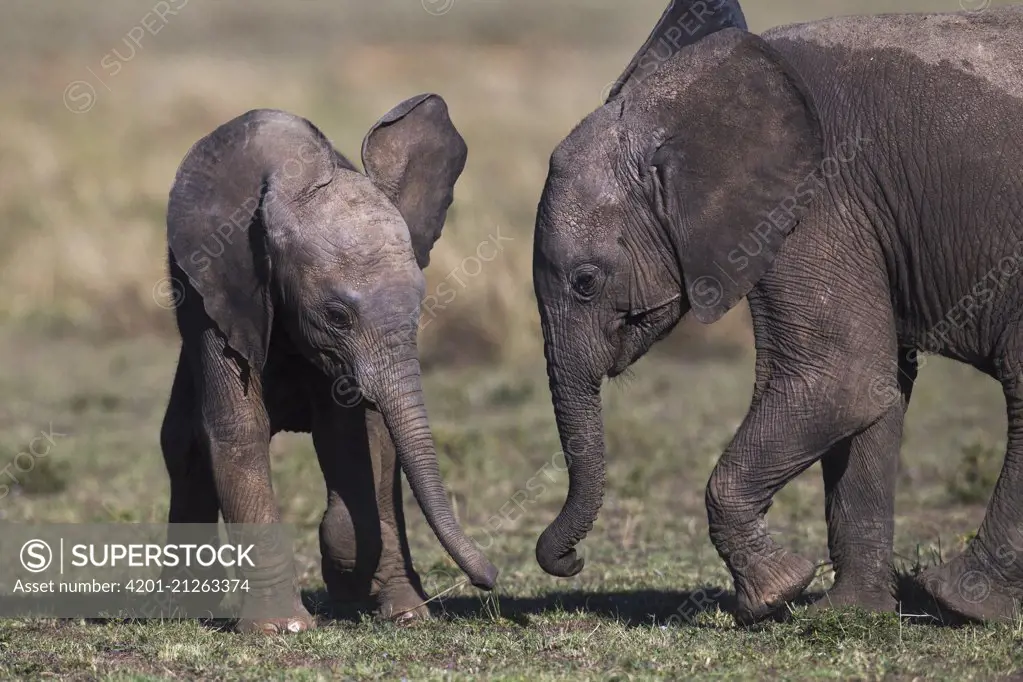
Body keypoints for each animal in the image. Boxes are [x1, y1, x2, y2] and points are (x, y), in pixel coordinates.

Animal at [157, 93, 497, 633]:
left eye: (421, 302)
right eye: (337, 316)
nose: (489, 580)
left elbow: (352, 433)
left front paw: (353, 582)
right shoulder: (218, 292)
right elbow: (238, 427)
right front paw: (281, 628)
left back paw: (403, 612)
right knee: (184, 440)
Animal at [531, 0, 1023, 625]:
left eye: (586, 282)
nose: (571, 561)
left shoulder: (819, 199)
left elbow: (838, 379)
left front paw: (777, 594)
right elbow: (873, 392)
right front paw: (847, 614)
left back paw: (960, 601)